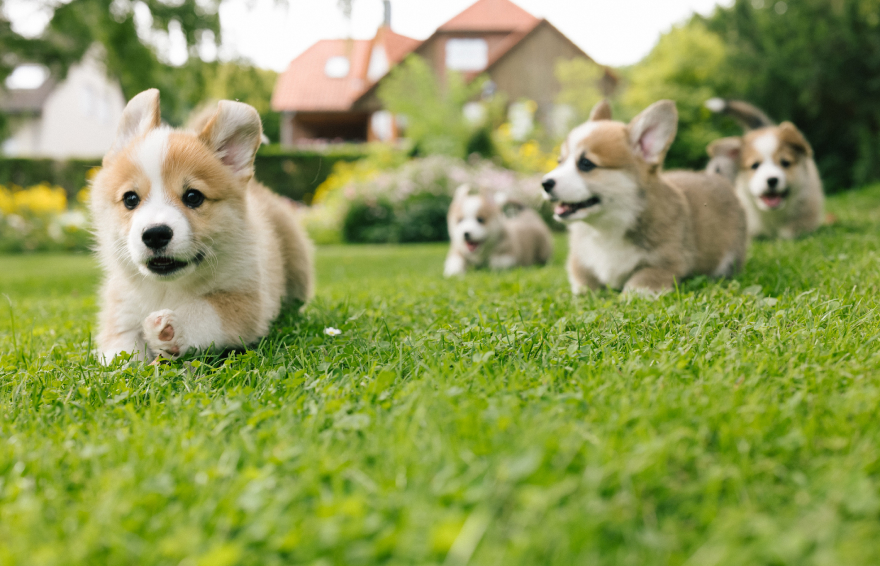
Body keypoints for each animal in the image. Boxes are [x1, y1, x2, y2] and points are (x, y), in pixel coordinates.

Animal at [90, 89, 312, 364]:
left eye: (193, 197)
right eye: (131, 199)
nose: (155, 234)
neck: (166, 288)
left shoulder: (247, 299)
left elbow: (206, 310)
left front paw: (172, 328)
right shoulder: (121, 311)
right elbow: (120, 351)